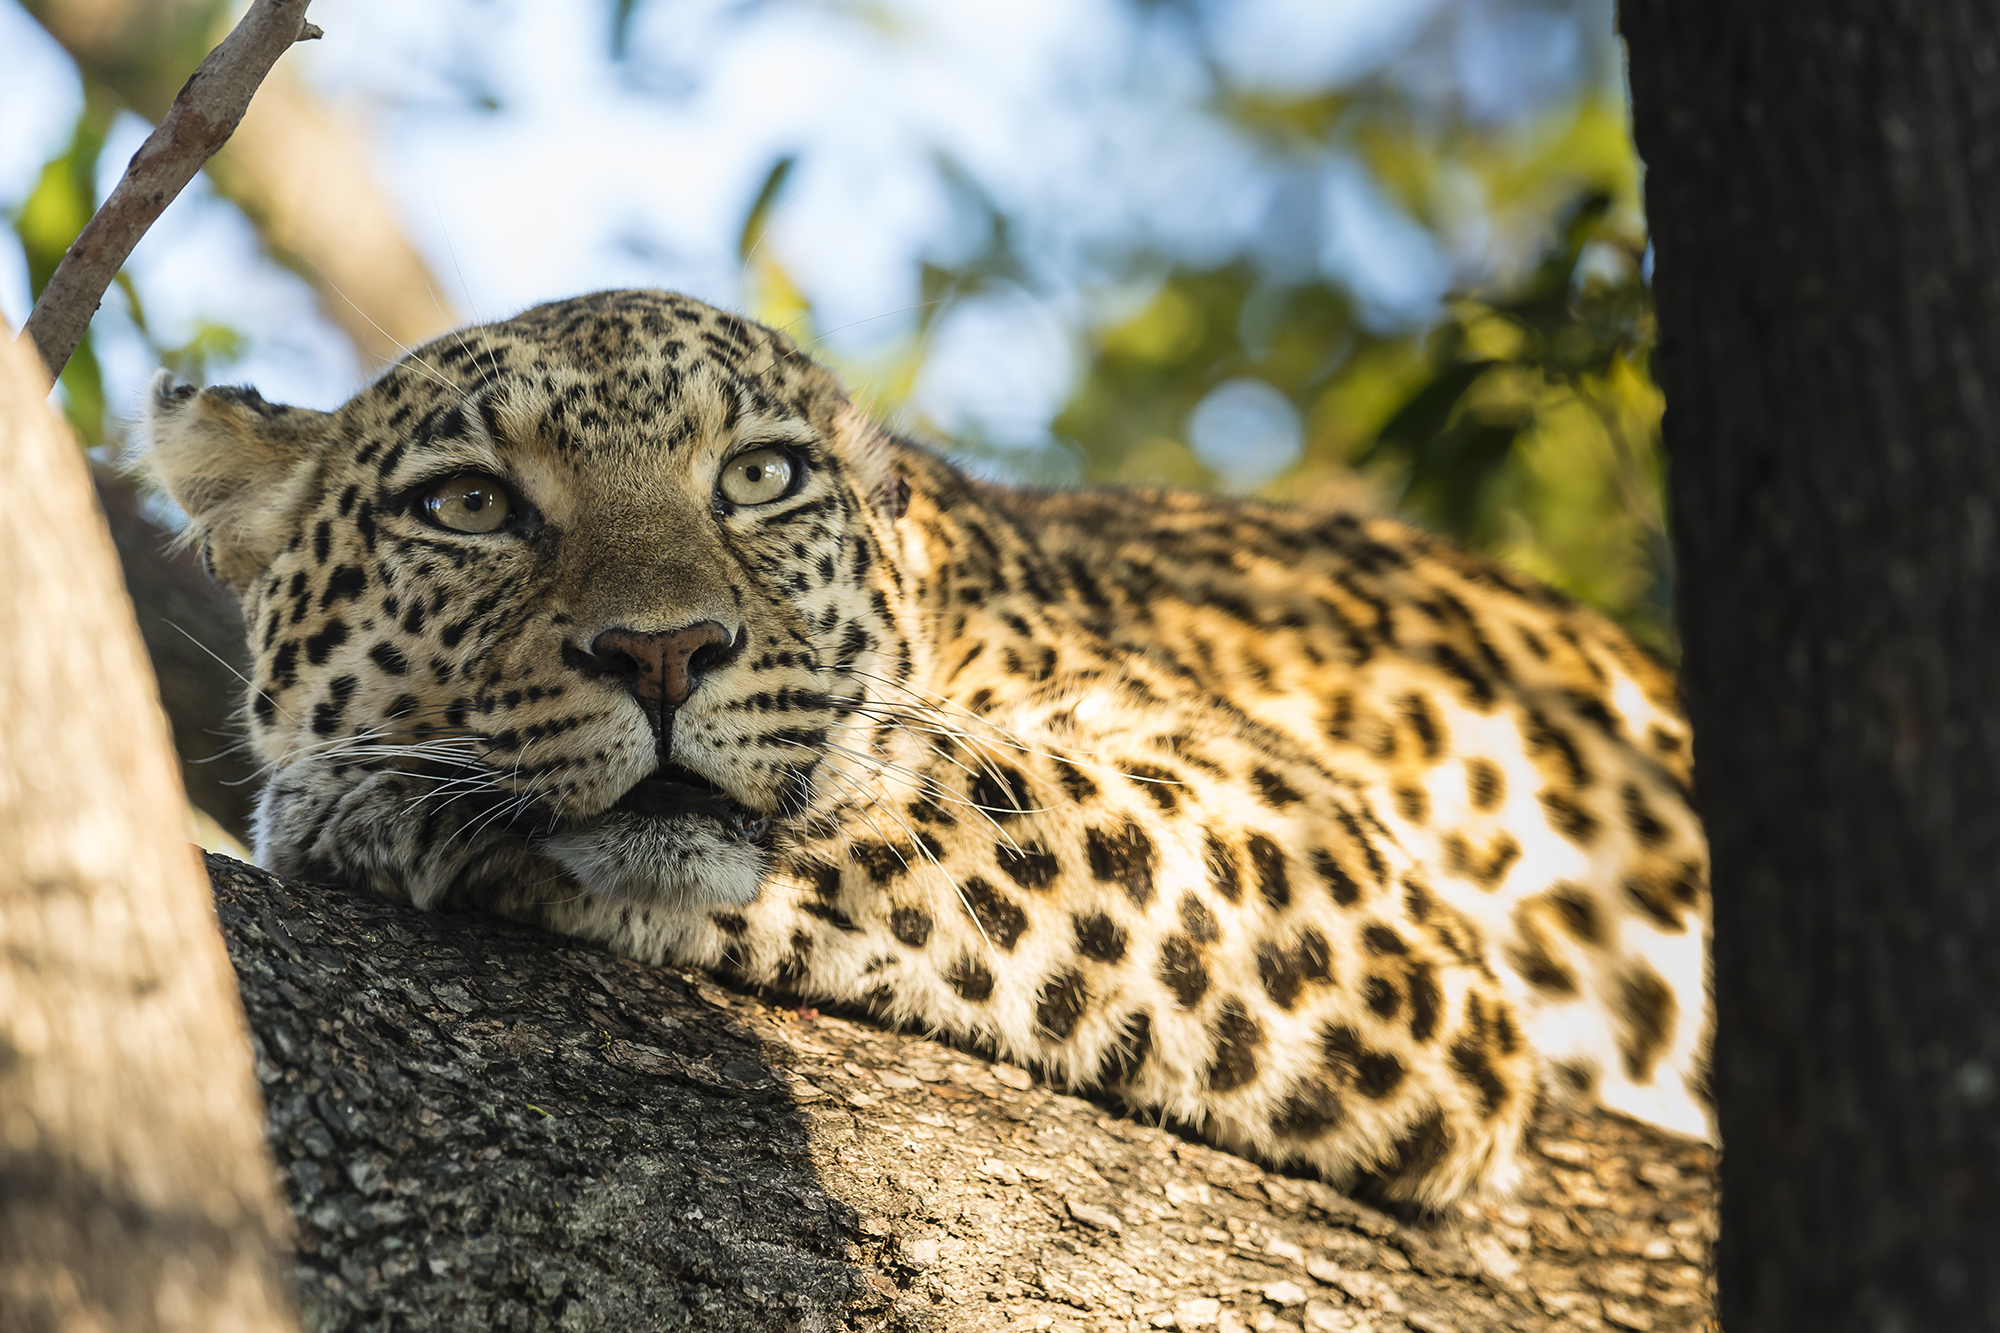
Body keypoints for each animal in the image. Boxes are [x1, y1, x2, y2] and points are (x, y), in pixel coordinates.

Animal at [145, 288, 1704, 1200]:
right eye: (466, 505)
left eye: (759, 477)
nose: (664, 652)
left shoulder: (1332, 860)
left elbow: (965, 797)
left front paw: (385, 804)